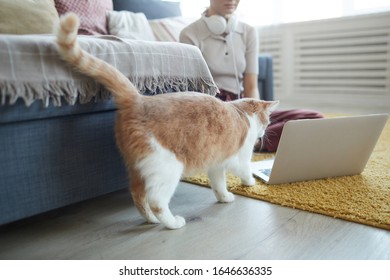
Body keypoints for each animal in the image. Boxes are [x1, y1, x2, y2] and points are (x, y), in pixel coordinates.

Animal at [55, 12, 280, 230]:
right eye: (268, 121)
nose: (264, 132)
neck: (241, 111)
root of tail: (139, 99)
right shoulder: (239, 158)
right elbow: (245, 171)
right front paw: (250, 183)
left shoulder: (216, 163)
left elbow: (218, 184)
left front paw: (224, 197)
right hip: (168, 168)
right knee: (157, 201)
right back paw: (173, 223)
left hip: (138, 169)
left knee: (138, 196)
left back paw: (151, 220)